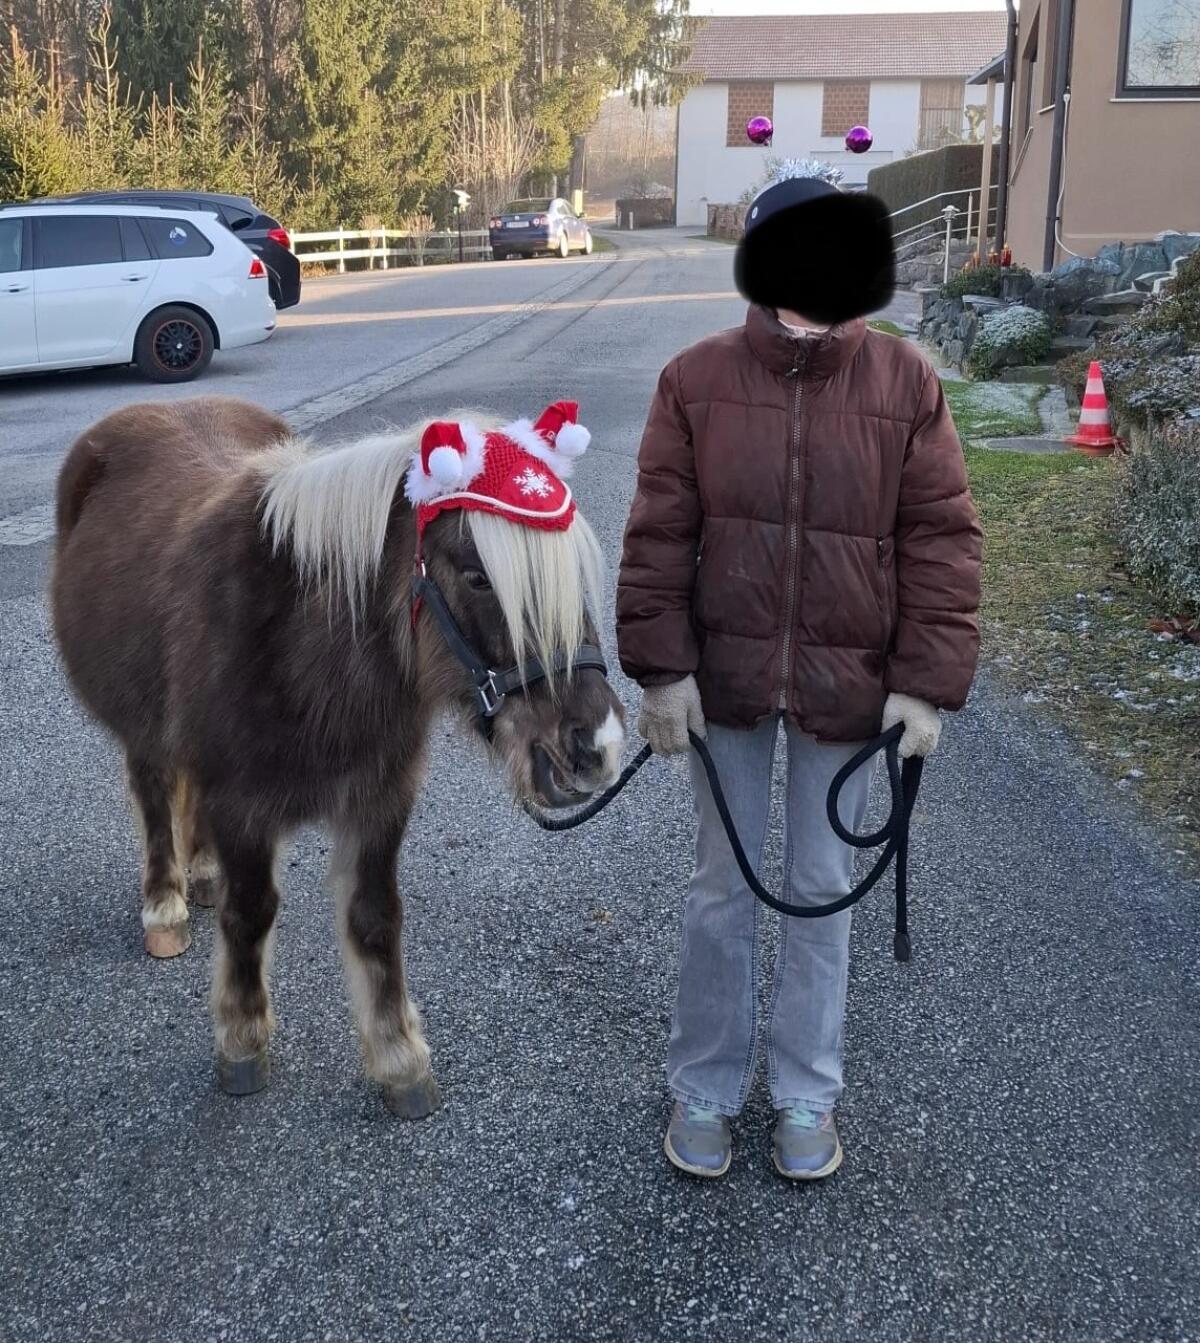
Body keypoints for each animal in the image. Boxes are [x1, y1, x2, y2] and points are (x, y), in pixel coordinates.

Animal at [51, 396, 625, 1117]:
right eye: (476, 576)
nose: (597, 748)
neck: (307, 652)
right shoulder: (242, 805)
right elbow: (251, 913)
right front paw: (242, 1042)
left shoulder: (379, 800)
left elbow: (375, 919)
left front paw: (399, 1060)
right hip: (143, 725)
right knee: (156, 797)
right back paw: (166, 907)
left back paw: (202, 874)